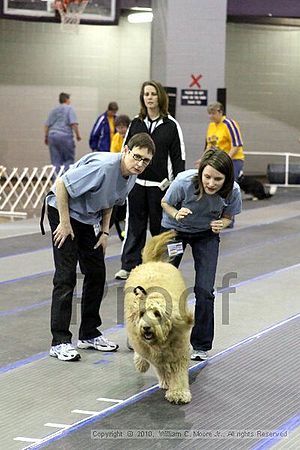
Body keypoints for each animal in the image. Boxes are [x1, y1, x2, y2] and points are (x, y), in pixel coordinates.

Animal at [123, 232, 192, 404]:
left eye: (157, 314)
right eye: (142, 313)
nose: (146, 328)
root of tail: (153, 262)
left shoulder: (179, 350)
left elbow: (179, 373)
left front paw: (179, 392)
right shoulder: (151, 352)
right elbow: (160, 367)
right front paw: (167, 381)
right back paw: (141, 363)